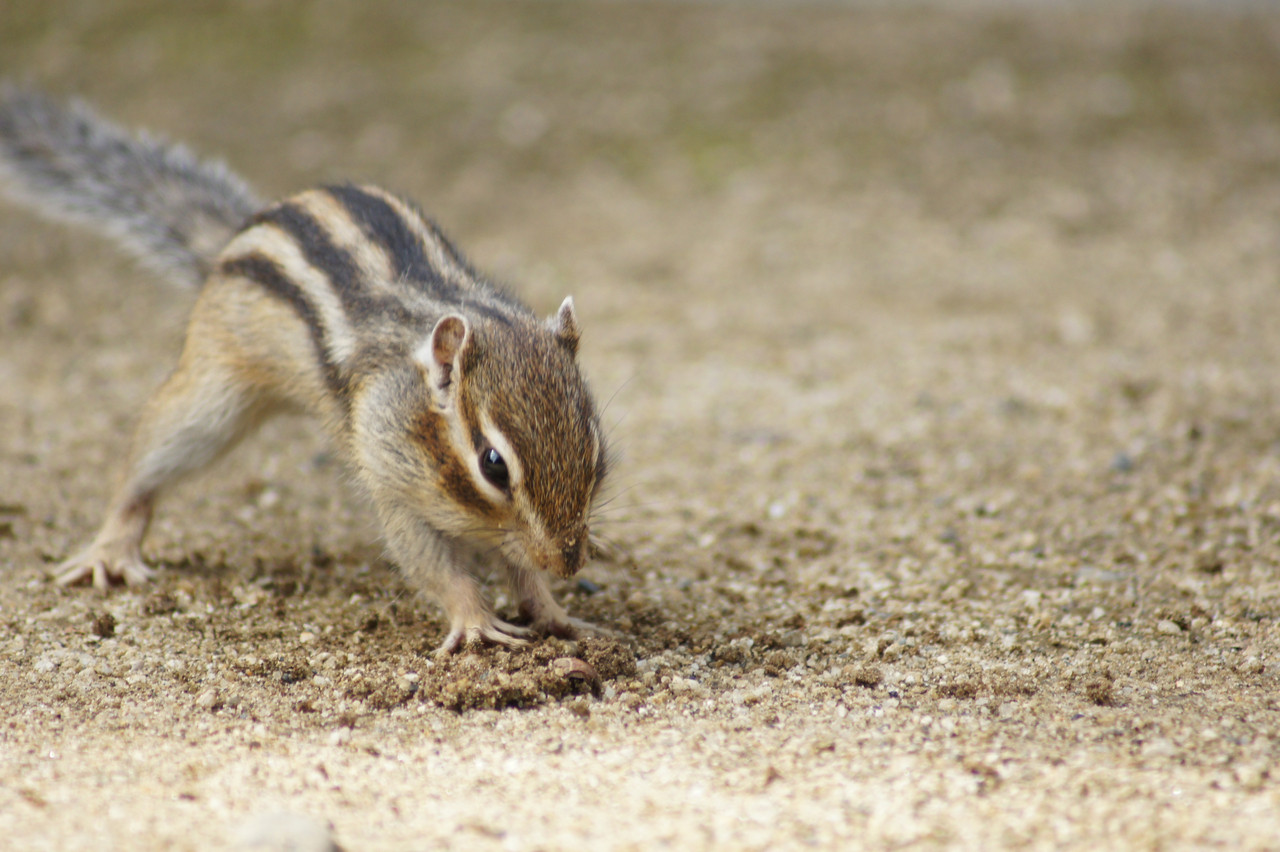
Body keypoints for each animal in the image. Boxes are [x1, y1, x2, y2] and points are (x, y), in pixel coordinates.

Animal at [0, 86, 612, 653]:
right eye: (493, 465)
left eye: (596, 451)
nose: (569, 561)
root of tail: (237, 234)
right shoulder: (392, 478)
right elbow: (431, 565)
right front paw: (477, 621)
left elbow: (519, 569)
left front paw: (556, 612)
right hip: (214, 395)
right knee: (146, 463)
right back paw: (110, 547)